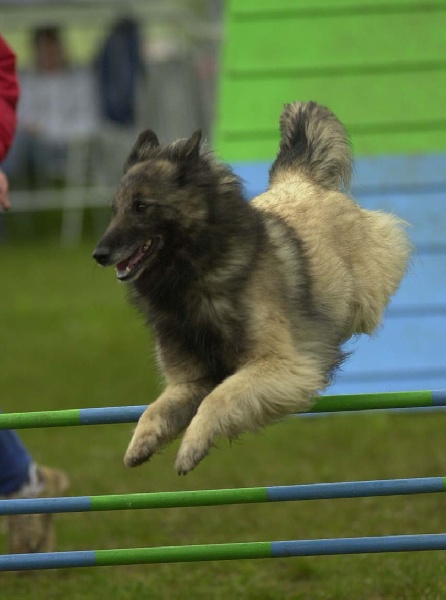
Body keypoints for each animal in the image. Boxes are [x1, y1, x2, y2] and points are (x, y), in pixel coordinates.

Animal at [93, 101, 412, 474]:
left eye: (141, 206)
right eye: (115, 209)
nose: (99, 254)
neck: (194, 279)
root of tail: (298, 178)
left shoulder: (281, 366)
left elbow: (219, 398)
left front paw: (191, 447)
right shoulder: (189, 381)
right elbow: (155, 409)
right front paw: (141, 443)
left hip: (364, 288)